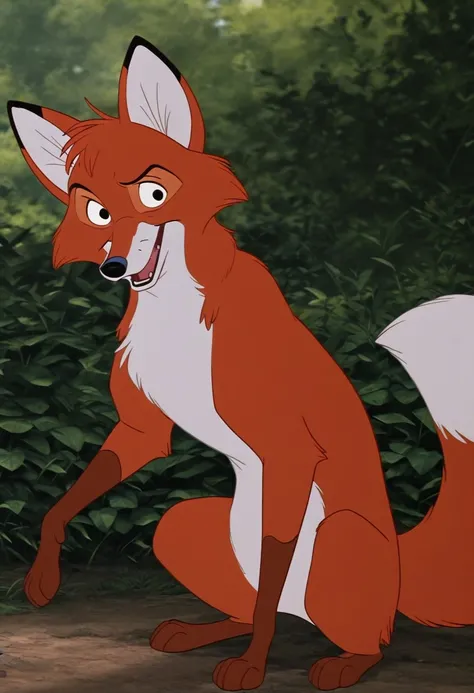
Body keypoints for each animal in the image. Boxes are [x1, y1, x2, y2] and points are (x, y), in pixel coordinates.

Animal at [7, 35, 474, 692]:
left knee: (355, 634)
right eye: (96, 213)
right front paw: (41, 581)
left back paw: (340, 664)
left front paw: (253, 667)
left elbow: (272, 569)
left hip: (336, 535)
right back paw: (196, 632)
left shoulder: (288, 451)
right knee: (254, 606)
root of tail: (404, 565)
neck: (175, 313)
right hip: (179, 525)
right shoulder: (143, 429)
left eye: (154, 194)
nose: (113, 267)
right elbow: (58, 509)